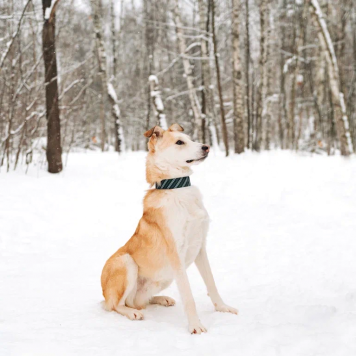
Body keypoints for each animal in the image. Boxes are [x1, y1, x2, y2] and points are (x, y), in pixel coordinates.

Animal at [101, 123, 238, 334]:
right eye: (180, 142)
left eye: (190, 138)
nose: (206, 147)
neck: (177, 188)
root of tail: (104, 295)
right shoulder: (176, 255)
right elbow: (188, 296)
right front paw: (195, 326)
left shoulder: (200, 248)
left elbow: (211, 283)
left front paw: (223, 308)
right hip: (125, 262)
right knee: (117, 305)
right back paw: (131, 313)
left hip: (164, 279)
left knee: (139, 301)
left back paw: (161, 299)